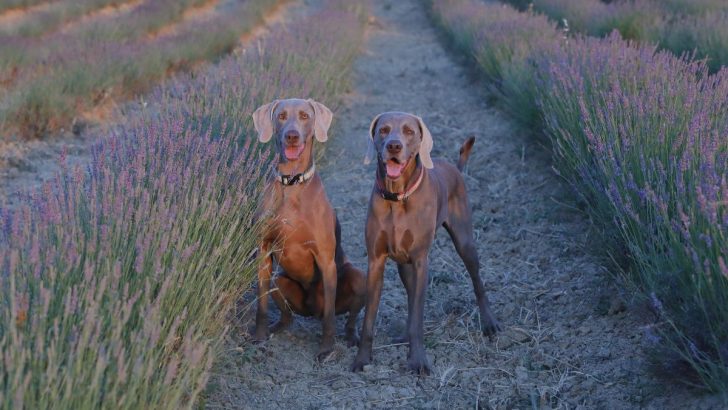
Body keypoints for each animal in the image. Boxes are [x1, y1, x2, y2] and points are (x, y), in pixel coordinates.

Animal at [252, 98, 364, 358]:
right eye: (281, 115)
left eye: (304, 116)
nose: (292, 136)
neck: (292, 182)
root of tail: (313, 312)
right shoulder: (264, 252)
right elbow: (261, 305)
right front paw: (259, 336)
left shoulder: (325, 260)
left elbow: (331, 318)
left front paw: (326, 349)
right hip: (280, 281)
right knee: (288, 316)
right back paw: (277, 327)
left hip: (358, 278)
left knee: (345, 317)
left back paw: (351, 337)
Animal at [348, 110, 498, 374]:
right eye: (383, 130)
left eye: (409, 131)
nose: (394, 146)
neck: (398, 197)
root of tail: (454, 167)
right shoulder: (376, 262)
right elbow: (369, 320)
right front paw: (362, 360)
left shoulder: (420, 261)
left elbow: (418, 316)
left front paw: (418, 361)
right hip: (403, 264)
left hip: (465, 242)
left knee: (477, 281)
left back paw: (489, 323)